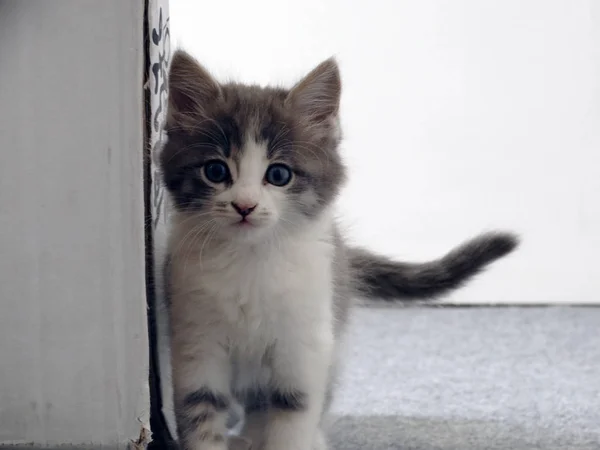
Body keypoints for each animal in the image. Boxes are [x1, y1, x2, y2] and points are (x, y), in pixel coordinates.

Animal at [162, 50, 516, 450]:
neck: (249, 261)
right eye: (216, 171)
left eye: (279, 175)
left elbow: (293, 413)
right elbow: (201, 412)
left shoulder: (305, 343)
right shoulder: (196, 340)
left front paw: (290, 438)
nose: (245, 206)